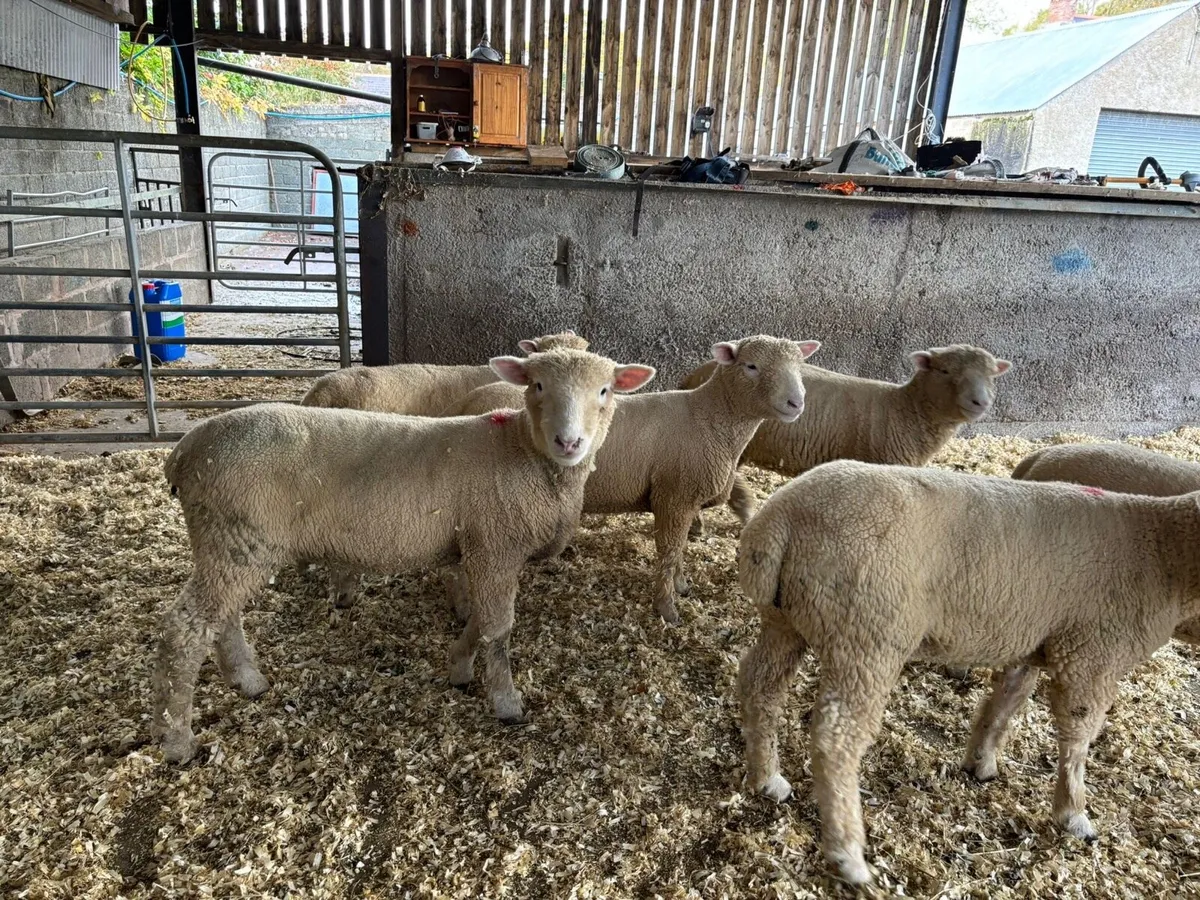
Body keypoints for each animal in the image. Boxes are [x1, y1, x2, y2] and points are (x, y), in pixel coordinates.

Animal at [152, 348, 655, 763]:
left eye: (605, 390)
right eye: (536, 385)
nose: (569, 443)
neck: (522, 453)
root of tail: (183, 452)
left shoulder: (482, 549)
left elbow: (480, 620)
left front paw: (459, 666)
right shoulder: (496, 545)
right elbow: (498, 629)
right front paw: (506, 702)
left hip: (231, 545)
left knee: (221, 618)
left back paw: (247, 681)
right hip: (234, 537)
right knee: (185, 629)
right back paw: (178, 742)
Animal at [450, 335, 820, 624]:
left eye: (798, 367)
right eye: (751, 366)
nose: (797, 403)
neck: (711, 418)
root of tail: (467, 401)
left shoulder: (681, 499)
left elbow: (679, 548)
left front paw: (680, 585)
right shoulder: (674, 494)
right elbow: (669, 550)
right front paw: (667, 608)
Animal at [736, 459, 1200, 885]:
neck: (1164, 554)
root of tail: (780, 520)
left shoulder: (1031, 641)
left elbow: (1005, 702)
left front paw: (981, 761)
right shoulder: (1091, 655)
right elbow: (1077, 737)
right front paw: (1074, 814)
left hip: (786, 621)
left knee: (759, 685)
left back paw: (767, 778)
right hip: (867, 632)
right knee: (837, 737)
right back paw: (848, 853)